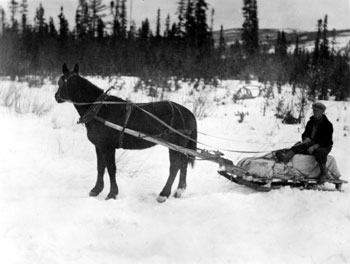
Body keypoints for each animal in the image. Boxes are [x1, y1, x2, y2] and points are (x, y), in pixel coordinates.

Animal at [54, 64, 197, 202]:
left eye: (60, 82)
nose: (56, 96)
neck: (98, 109)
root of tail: (189, 113)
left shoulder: (108, 147)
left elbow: (111, 169)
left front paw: (112, 194)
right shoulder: (99, 146)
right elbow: (100, 168)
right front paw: (96, 190)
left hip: (175, 145)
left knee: (175, 166)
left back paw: (164, 194)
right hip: (180, 147)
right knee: (183, 164)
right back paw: (179, 191)